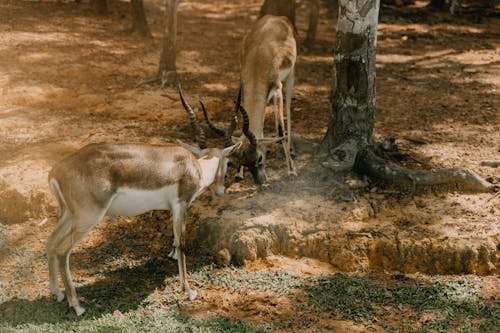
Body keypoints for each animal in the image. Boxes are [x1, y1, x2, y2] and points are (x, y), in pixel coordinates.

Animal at [46, 84, 241, 316]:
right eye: (228, 162)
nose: (221, 190)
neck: (195, 166)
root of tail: (57, 170)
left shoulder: (172, 208)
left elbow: (174, 238)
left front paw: (172, 256)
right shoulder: (182, 204)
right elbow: (182, 243)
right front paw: (189, 291)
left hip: (68, 214)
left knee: (50, 242)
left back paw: (57, 293)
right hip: (88, 218)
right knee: (62, 251)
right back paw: (76, 305)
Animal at [202, 14, 296, 184]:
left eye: (259, 159)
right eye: (241, 162)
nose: (261, 181)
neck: (259, 59)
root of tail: (278, 17)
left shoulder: (277, 90)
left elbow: (280, 130)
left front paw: (291, 170)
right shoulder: (246, 90)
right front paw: (239, 174)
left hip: (290, 78)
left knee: (288, 111)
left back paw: (292, 153)